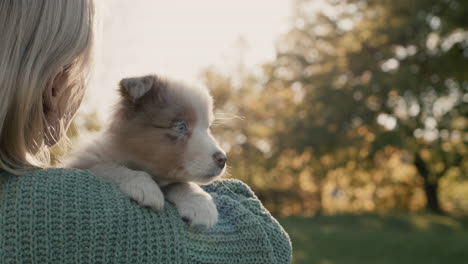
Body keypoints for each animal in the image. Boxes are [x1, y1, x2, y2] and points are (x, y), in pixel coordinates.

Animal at [66, 74, 227, 227]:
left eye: (207, 128)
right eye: (181, 126)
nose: (223, 159)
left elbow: (181, 183)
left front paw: (201, 204)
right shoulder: (85, 162)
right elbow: (112, 167)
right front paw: (145, 186)